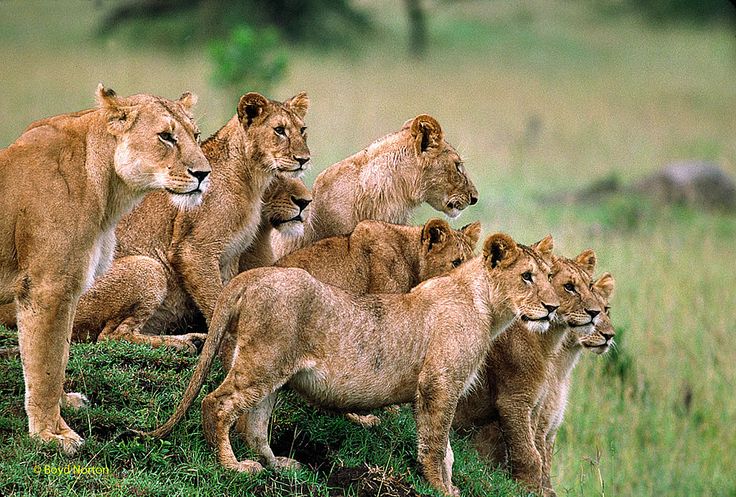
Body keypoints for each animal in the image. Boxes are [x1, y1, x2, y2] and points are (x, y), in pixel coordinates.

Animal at [0, 85, 210, 454]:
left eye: (195, 136)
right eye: (166, 137)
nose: (204, 174)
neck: (110, 191)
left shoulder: (68, 290)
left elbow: (58, 355)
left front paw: (64, 405)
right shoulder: (47, 287)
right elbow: (46, 365)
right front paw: (51, 434)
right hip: (145, 268)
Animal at [141, 232, 560, 496]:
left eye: (551, 277)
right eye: (527, 277)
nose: (553, 307)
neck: (489, 309)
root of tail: (249, 276)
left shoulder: (441, 387)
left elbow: (448, 451)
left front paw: (451, 485)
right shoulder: (439, 384)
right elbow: (437, 446)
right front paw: (442, 489)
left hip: (272, 371)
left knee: (255, 425)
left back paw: (280, 466)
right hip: (263, 362)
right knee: (217, 404)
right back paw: (233, 467)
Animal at [454, 250, 604, 494]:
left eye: (590, 286)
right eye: (569, 287)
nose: (595, 312)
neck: (548, 340)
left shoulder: (535, 404)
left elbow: (538, 451)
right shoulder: (514, 400)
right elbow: (530, 455)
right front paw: (529, 489)